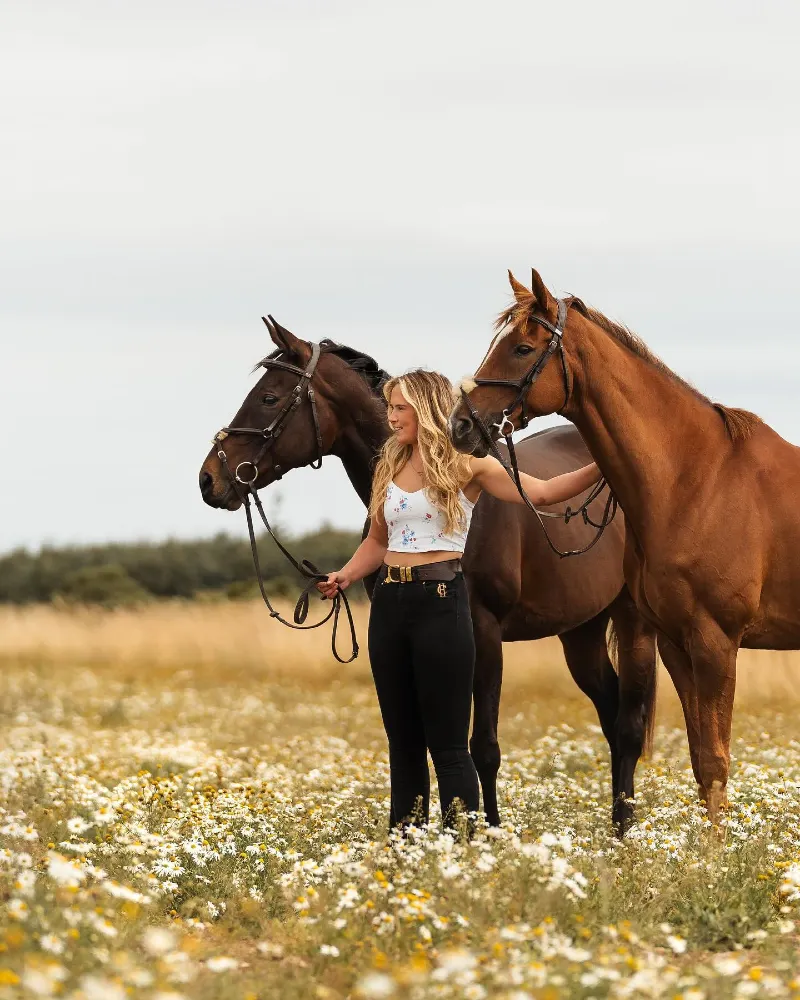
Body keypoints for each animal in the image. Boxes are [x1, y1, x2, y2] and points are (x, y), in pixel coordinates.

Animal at [450, 268, 800, 825]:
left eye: (522, 349)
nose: (461, 426)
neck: (697, 481)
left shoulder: (716, 642)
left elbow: (717, 760)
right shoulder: (678, 643)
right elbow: (701, 761)